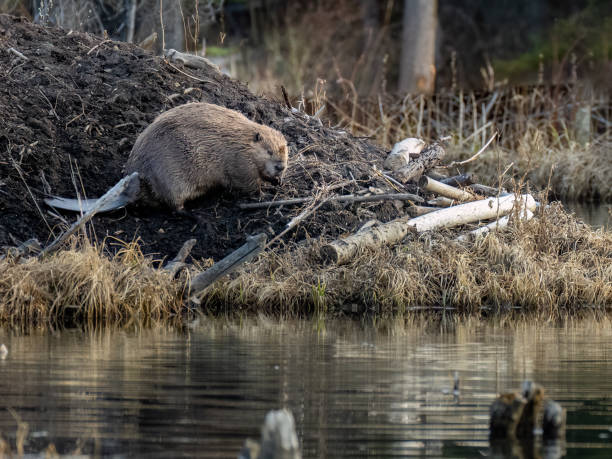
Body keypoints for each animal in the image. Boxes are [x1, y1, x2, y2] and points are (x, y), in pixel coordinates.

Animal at [45, 103, 290, 213]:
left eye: (285, 151)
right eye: (269, 151)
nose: (280, 167)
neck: (242, 140)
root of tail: (130, 189)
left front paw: (277, 181)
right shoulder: (239, 161)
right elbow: (245, 183)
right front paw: (263, 191)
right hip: (171, 178)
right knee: (174, 206)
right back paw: (193, 214)